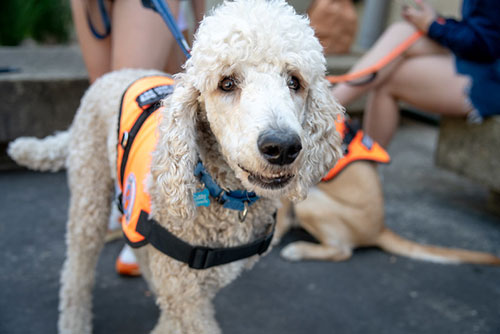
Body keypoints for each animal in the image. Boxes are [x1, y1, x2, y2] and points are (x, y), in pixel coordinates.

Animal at [7, 1, 344, 332]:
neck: (219, 191)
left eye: (294, 81)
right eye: (227, 83)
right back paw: (74, 321)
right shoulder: (186, 296)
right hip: (88, 196)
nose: (282, 146)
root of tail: (113, 75)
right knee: (76, 270)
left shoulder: (185, 286)